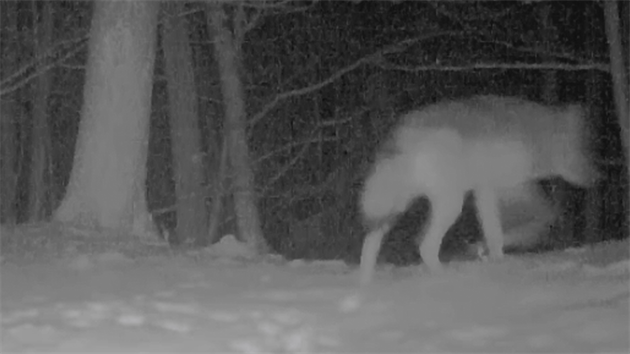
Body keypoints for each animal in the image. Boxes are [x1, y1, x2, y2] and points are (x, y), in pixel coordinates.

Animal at [360, 94, 596, 284]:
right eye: (584, 150)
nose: (598, 177)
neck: (534, 136)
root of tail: (401, 134)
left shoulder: (490, 191)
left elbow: (498, 232)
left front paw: (491, 256)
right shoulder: (505, 189)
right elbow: (539, 219)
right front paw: (489, 254)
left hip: (396, 207)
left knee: (376, 241)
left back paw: (365, 283)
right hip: (450, 204)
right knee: (425, 245)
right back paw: (446, 277)